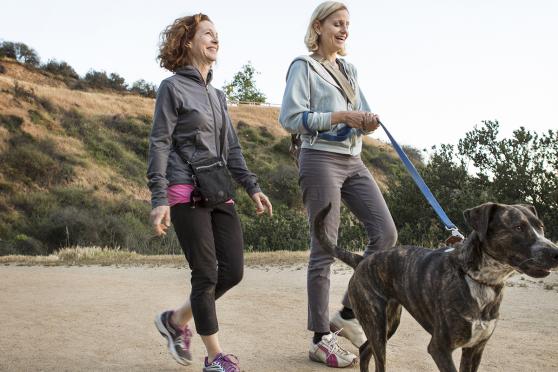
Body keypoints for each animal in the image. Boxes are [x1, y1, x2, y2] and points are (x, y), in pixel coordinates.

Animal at [316, 203, 558, 372]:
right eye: (518, 227)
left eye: (541, 227)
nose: (555, 252)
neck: (478, 280)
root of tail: (363, 260)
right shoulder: (439, 348)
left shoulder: (475, 349)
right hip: (375, 321)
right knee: (376, 357)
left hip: (390, 323)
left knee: (366, 350)